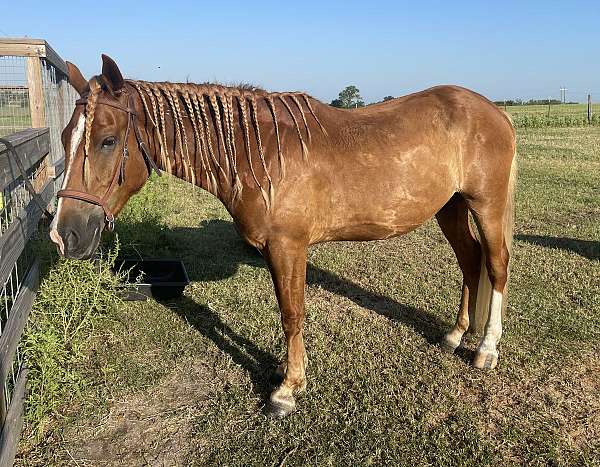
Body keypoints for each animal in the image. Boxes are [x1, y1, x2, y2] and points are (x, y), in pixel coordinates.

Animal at [50, 54, 516, 416]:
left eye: (108, 140)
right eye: (65, 137)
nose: (64, 235)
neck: (260, 154)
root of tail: (494, 111)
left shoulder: (287, 248)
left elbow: (292, 314)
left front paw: (287, 390)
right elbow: (287, 313)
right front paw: (285, 372)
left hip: (486, 206)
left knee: (496, 265)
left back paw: (485, 349)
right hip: (450, 207)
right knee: (469, 260)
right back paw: (455, 335)